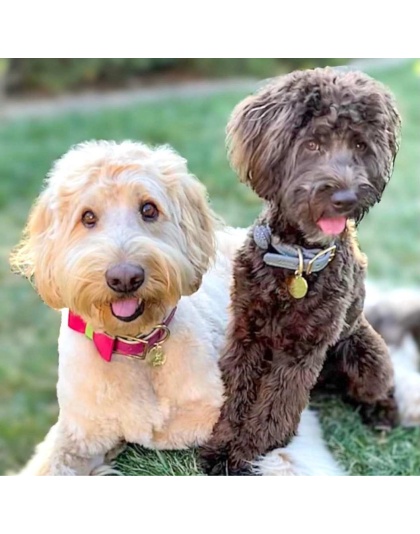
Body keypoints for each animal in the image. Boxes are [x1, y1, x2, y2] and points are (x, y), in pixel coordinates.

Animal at [12, 142, 344, 478]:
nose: (124, 278)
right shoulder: (79, 433)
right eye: (87, 217)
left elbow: (284, 456)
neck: (138, 346)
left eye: (149, 209)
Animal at [202, 68, 402, 478]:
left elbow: (275, 407)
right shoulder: (246, 333)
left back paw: (383, 414)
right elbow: (236, 393)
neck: (297, 260)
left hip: (367, 357)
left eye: (360, 146)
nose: (345, 198)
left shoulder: (302, 349)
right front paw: (221, 445)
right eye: (311, 145)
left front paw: (247, 452)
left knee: (384, 387)